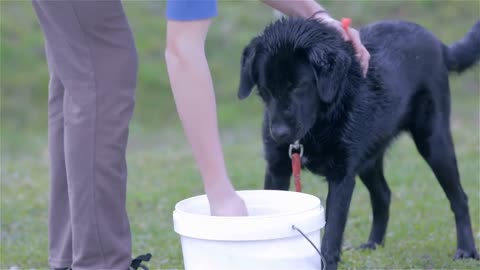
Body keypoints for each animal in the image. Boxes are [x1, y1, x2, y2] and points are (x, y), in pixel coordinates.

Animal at [237, 17, 480, 268]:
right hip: (368, 159)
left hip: (434, 144)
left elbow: (332, 235)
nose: (279, 134)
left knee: (459, 198)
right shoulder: (278, 169)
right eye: (265, 89)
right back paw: (374, 243)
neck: (322, 122)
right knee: (383, 194)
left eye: (299, 86)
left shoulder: (342, 176)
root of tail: (438, 43)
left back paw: (466, 249)